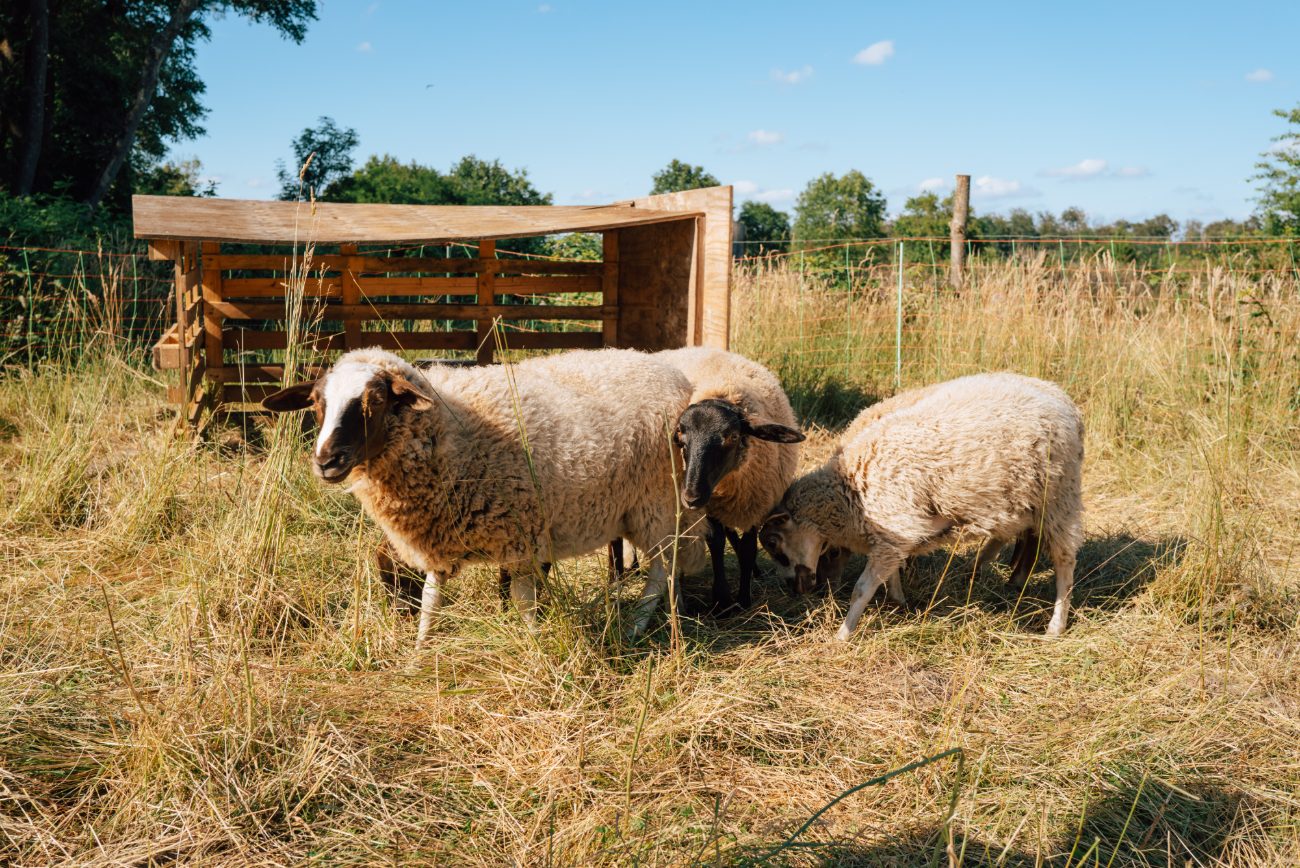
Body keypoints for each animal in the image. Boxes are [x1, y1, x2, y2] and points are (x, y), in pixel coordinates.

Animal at [262, 347, 707, 644]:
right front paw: (420, 651)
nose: (326, 461)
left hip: (658, 505)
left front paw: (532, 646)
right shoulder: (440, 535)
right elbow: (431, 599)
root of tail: (671, 372)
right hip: (636, 510)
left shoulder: (522, 536)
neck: (452, 430)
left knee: (661, 573)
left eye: (376, 401)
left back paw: (635, 626)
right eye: (316, 403)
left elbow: (523, 600)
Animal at [655, 347, 805, 611]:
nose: (690, 498)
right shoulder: (712, 505)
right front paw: (722, 600)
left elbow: (747, 549)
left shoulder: (756, 504)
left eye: (732, 437)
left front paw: (744, 599)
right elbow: (716, 542)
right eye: (681, 439)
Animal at [761, 372, 1084, 639]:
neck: (849, 490)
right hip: (1022, 501)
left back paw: (1055, 625)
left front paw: (842, 635)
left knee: (1065, 562)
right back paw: (988, 571)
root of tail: (1066, 403)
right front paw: (897, 600)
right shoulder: (894, 535)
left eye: (775, 543)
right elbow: (891, 571)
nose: (798, 591)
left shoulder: (894, 526)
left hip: (1059, 499)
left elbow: (862, 590)